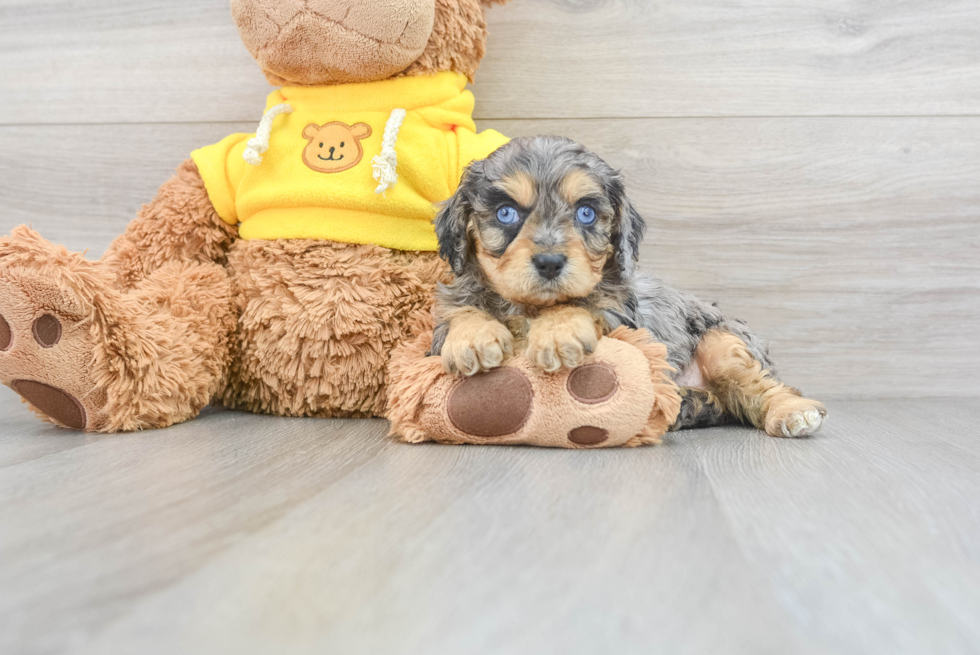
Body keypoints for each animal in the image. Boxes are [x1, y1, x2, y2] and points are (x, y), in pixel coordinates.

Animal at [432, 136, 824, 438]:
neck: (531, 308)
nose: (550, 262)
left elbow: (585, 301)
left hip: (723, 343)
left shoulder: (622, 321)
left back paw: (790, 411)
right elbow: (458, 309)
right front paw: (473, 338)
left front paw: (558, 332)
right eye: (506, 213)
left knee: (757, 386)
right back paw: (686, 405)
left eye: (586, 213)